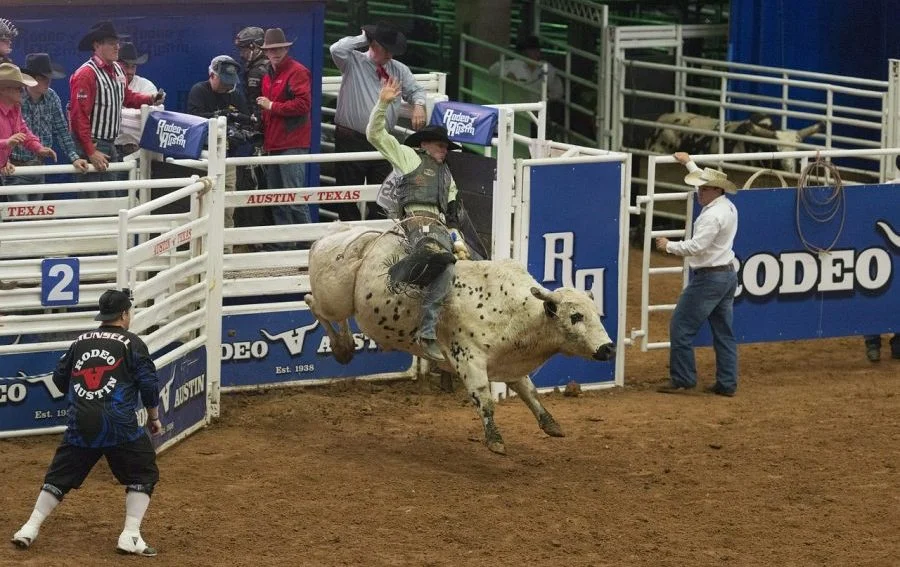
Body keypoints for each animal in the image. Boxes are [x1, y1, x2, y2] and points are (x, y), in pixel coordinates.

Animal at [303, 224, 616, 455]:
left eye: (595, 313)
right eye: (576, 316)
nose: (608, 348)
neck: (515, 311)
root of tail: (328, 237)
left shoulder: (509, 364)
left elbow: (529, 392)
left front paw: (550, 423)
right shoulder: (468, 359)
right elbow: (484, 399)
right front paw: (495, 441)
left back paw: (345, 346)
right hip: (334, 297)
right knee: (313, 303)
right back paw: (341, 347)